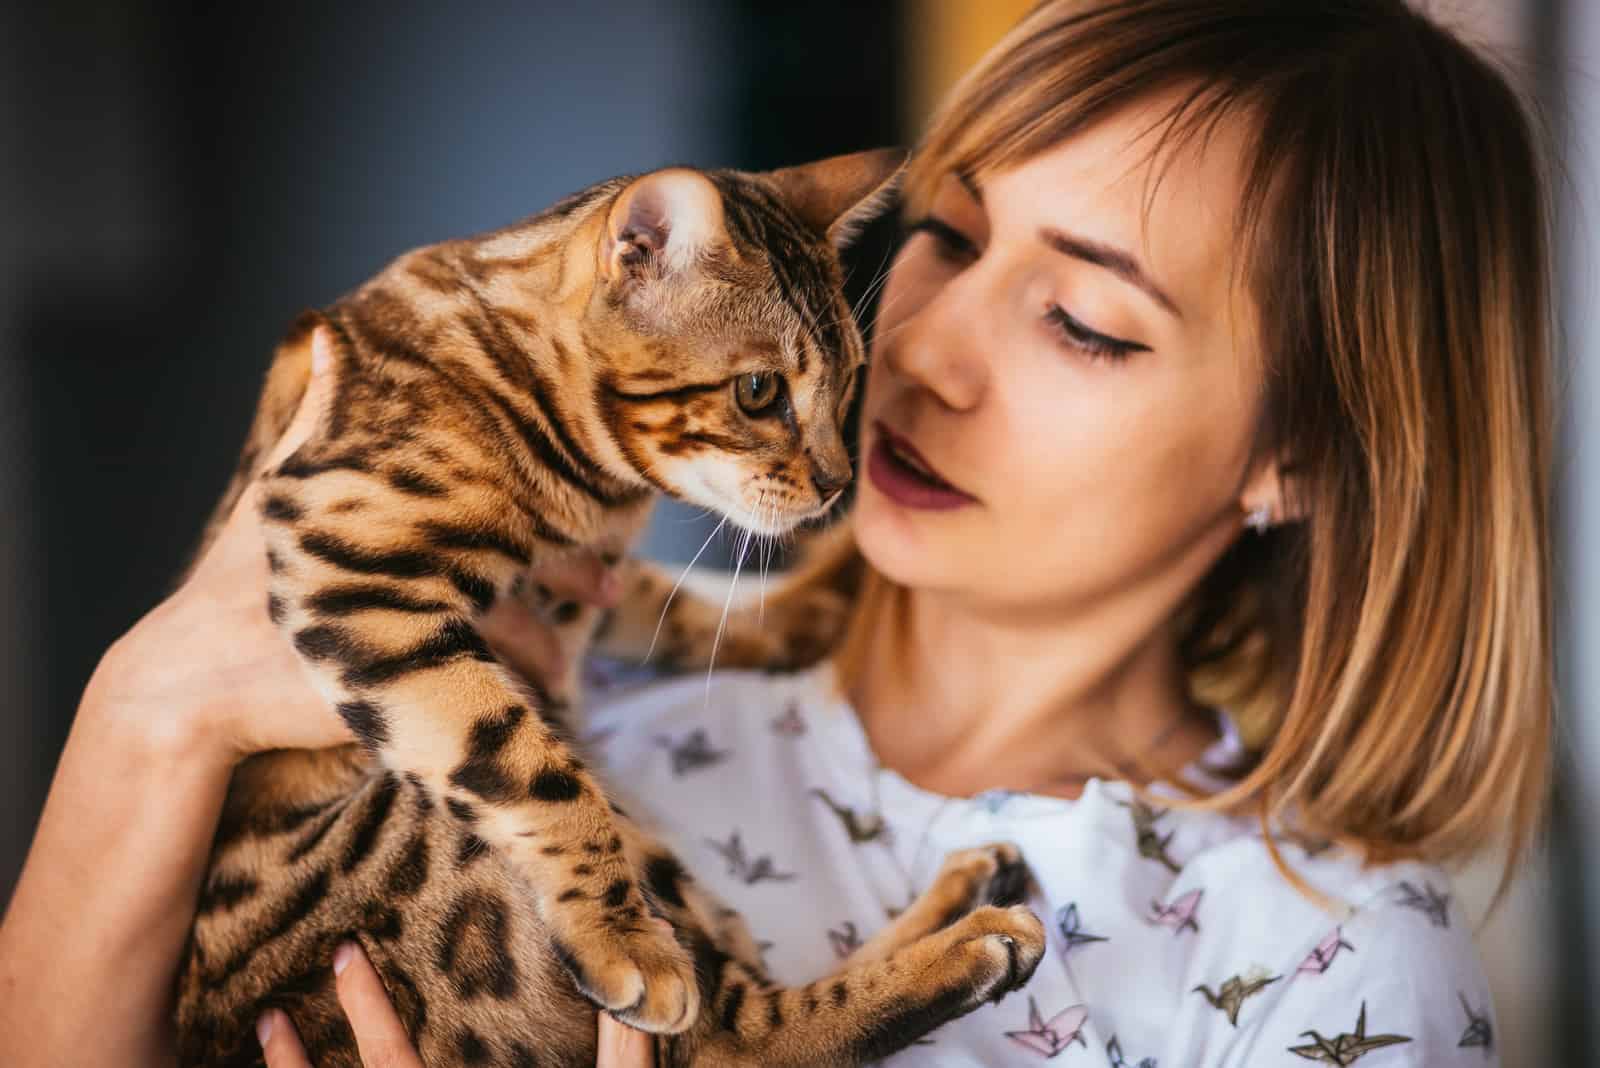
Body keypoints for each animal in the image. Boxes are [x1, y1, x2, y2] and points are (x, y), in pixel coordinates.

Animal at [175, 151, 1049, 1068]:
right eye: (759, 390)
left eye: (849, 384)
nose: (838, 484)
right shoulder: (356, 560)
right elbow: (526, 767)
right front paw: (621, 939)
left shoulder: (575, 573)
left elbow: (672, 604)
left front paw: (806, 615)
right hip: (428, 827)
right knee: (734, 1035)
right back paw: (975, 942)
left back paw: (969, 891)